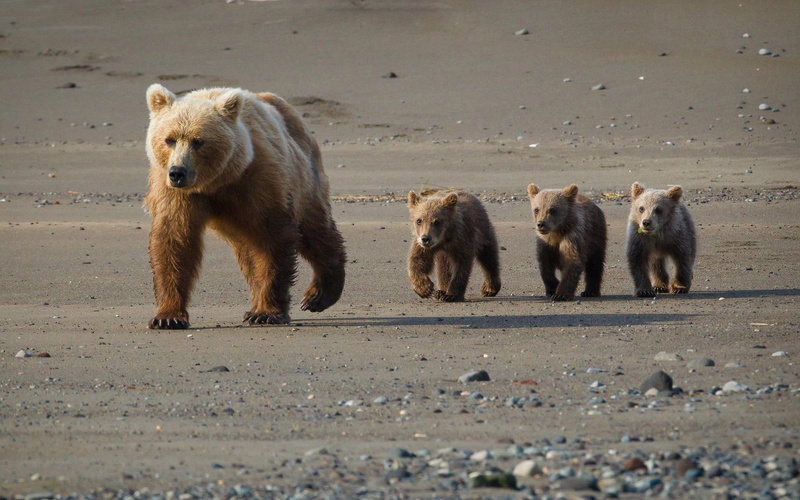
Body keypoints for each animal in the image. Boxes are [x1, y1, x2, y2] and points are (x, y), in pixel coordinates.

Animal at [144, 84, 346, 329]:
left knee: (314, 230)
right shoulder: (175, 194)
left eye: (198, 141)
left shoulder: (259, 181)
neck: (217, 181)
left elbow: (271, 240)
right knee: (249, 252)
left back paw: (318, 294)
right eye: (170, 139)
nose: (177, 172)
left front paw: (266, 312)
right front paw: (168, 316)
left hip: (304, 177)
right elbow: (175, 240)